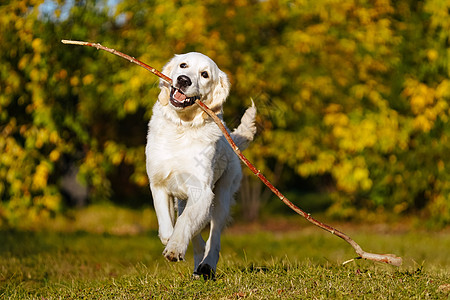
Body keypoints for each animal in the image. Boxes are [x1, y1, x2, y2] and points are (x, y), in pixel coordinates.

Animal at [145, 52, 256, 278]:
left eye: (205, 74)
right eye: (183, 65)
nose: (183, 80)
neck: (182, 127)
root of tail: (232, 137)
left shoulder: (203, 191)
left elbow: (186, 222)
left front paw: (175, 247)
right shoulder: (158, 183)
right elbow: (166, 221)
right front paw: (170, 239)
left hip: (221, 196)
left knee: (214, 238)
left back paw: (207, 265)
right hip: (183, 200)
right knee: (196, 234)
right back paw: (197, 266)